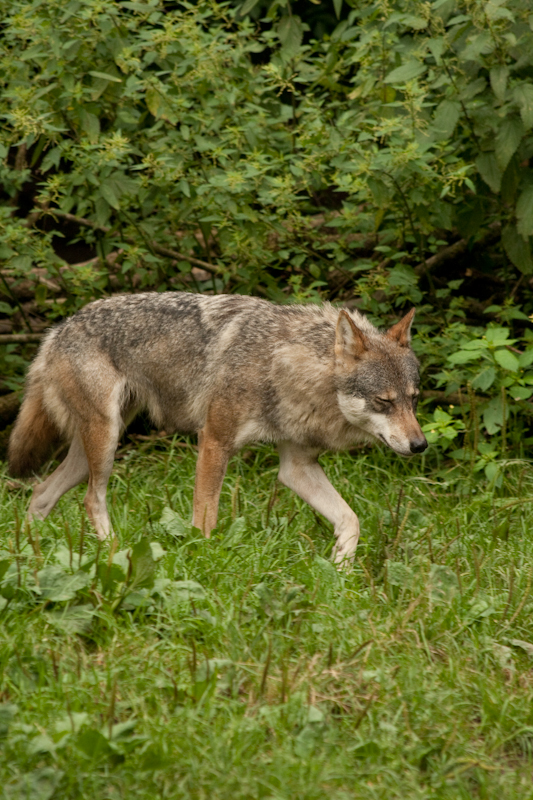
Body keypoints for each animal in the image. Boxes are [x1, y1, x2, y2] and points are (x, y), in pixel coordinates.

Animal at [6, 292, 426, 564]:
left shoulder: (297, 466)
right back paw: (113, 551)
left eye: (413, 399)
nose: (420, 445)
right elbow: (205, 518)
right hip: (105, 442)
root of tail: (59, 329)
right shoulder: (214, 441)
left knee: (41, 494)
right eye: (384, 402)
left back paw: (28, 551)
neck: (283, 365)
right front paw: (202, 562)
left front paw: (340, 567)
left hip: (94, 448)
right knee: (91, 500)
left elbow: (350, 518)